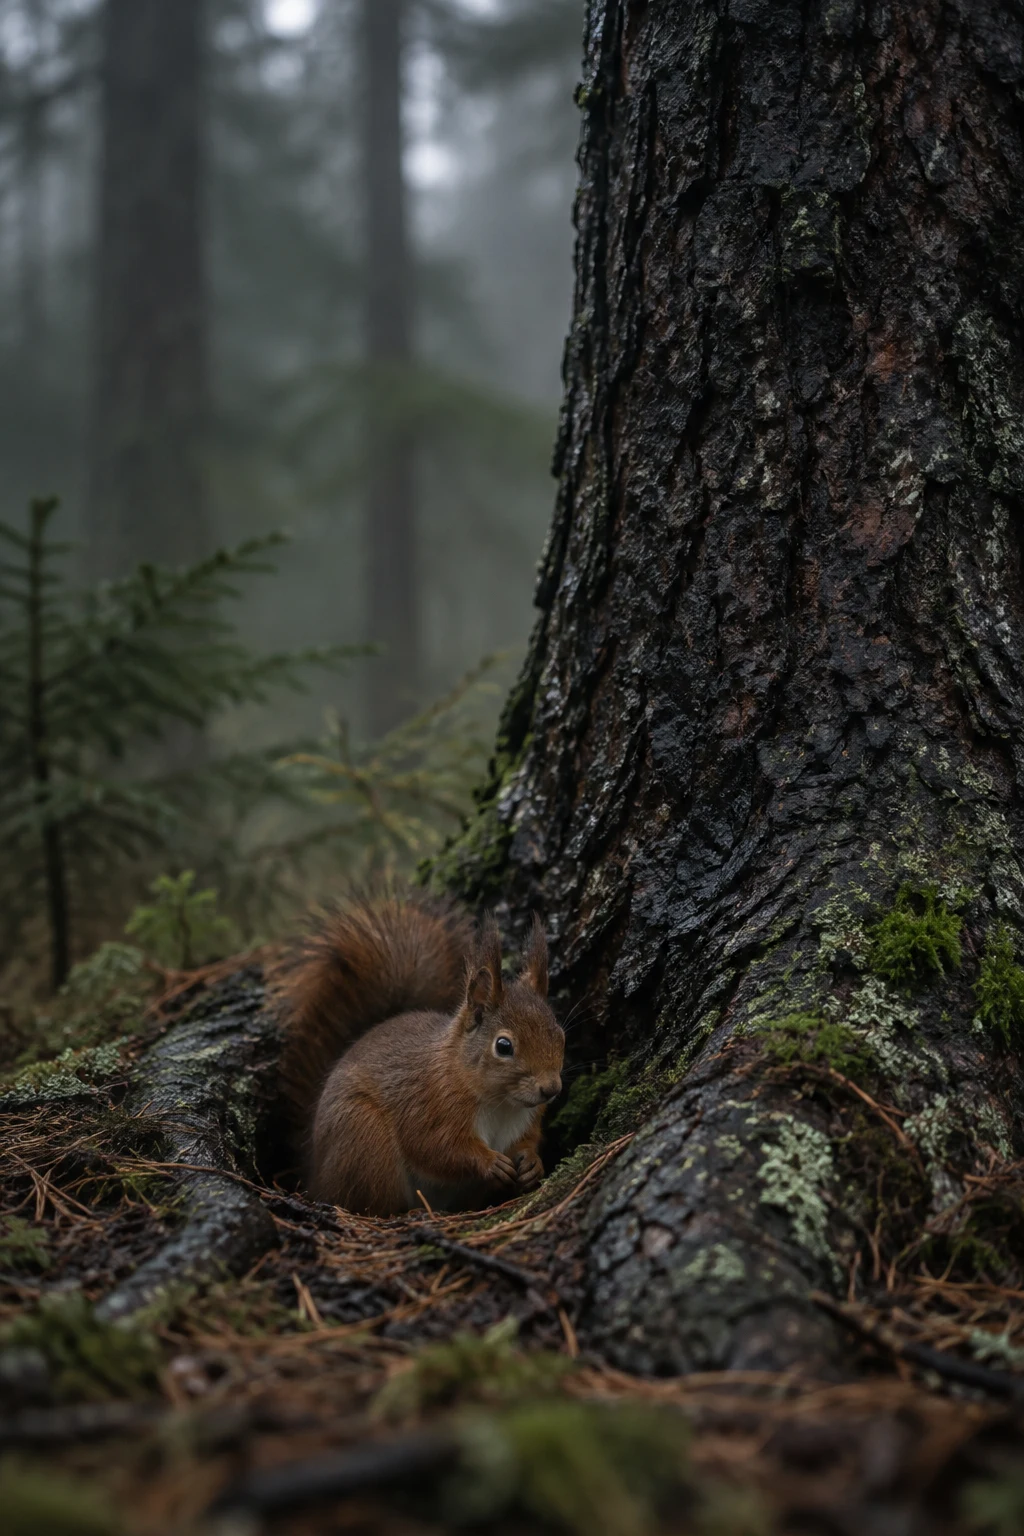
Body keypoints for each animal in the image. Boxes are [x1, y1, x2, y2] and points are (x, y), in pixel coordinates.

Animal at [271, 892, 564, 1217]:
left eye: (560, 1033)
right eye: (503, 1046)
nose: (551, 1088)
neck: (501, 1103)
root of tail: (314, 1173)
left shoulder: (528, 1118)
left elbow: (528, 1140)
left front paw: (533, 1162)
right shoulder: (427, 1102)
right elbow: (434, 1147)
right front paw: (490, 1162)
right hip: (364, 1138)